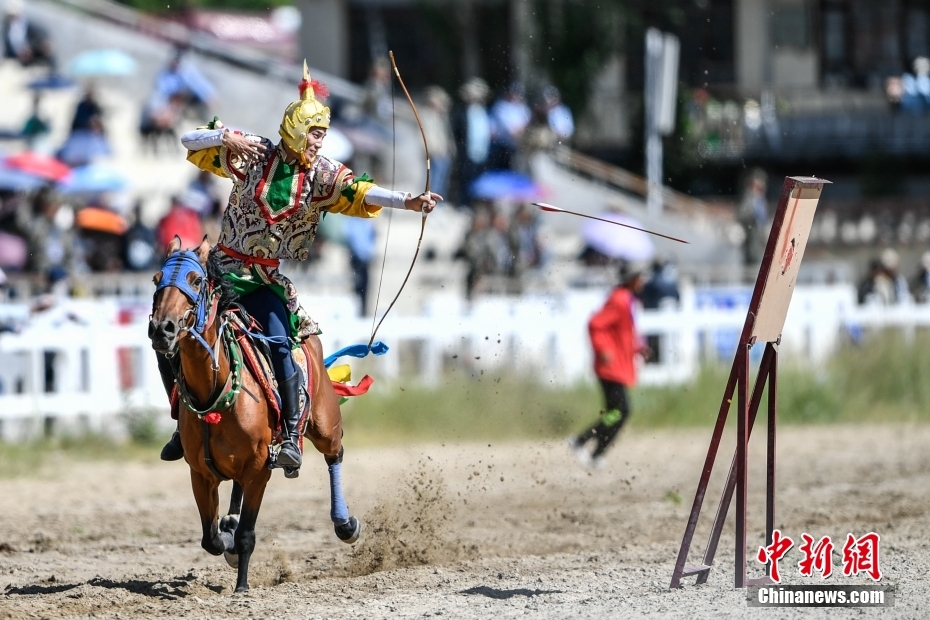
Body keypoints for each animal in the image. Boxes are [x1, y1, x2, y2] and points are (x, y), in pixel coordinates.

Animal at [148, 237, 361, 592]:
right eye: (155, 280)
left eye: (195, 280)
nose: (162, 328)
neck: (214, 391)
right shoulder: (199, 474)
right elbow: (209, 538)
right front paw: (226, 540)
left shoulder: (260, 470)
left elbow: (247, 534)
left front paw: (242, 586)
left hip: (324, 423)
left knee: (336, 453)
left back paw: (345, 524)